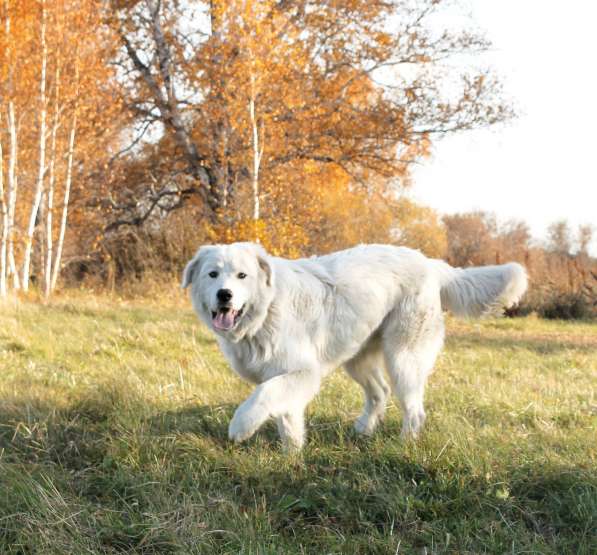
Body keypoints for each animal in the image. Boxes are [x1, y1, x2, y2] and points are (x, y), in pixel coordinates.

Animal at [183, 243, 528, 452]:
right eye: (213, 274)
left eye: (242, 275)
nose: (224, 294)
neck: (265, 312)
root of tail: (430, 263)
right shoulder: (290, 378)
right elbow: (287, 416)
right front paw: (292, 454)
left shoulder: (301, 372)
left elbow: (263, 395)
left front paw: (241, 427)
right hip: (357, 357)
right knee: (379, 392)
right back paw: (363, 430)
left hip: (403, 359)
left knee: (414, 409)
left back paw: (404, 445)